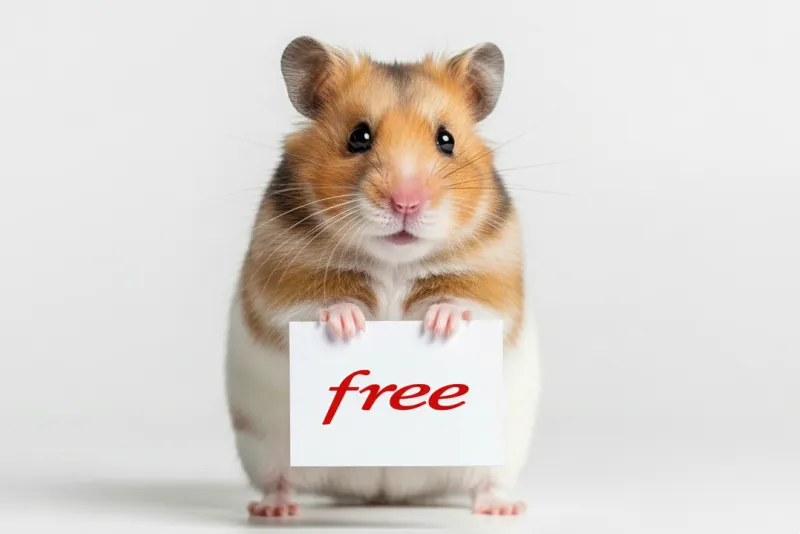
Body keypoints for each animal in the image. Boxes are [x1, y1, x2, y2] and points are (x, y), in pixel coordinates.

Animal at [225, 36, 540, 517]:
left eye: (446, 140)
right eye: (359, 136)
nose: (406, 203)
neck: (394, 260)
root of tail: (383, 491)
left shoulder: (494, 282)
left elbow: (465, 304)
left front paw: (440, 323)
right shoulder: (279, 282)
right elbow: (316, 305)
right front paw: (348, 325)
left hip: (498, 452)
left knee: (485, 484)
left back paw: (503, 509)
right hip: (264, 447)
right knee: (279, 481)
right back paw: (274, 511)